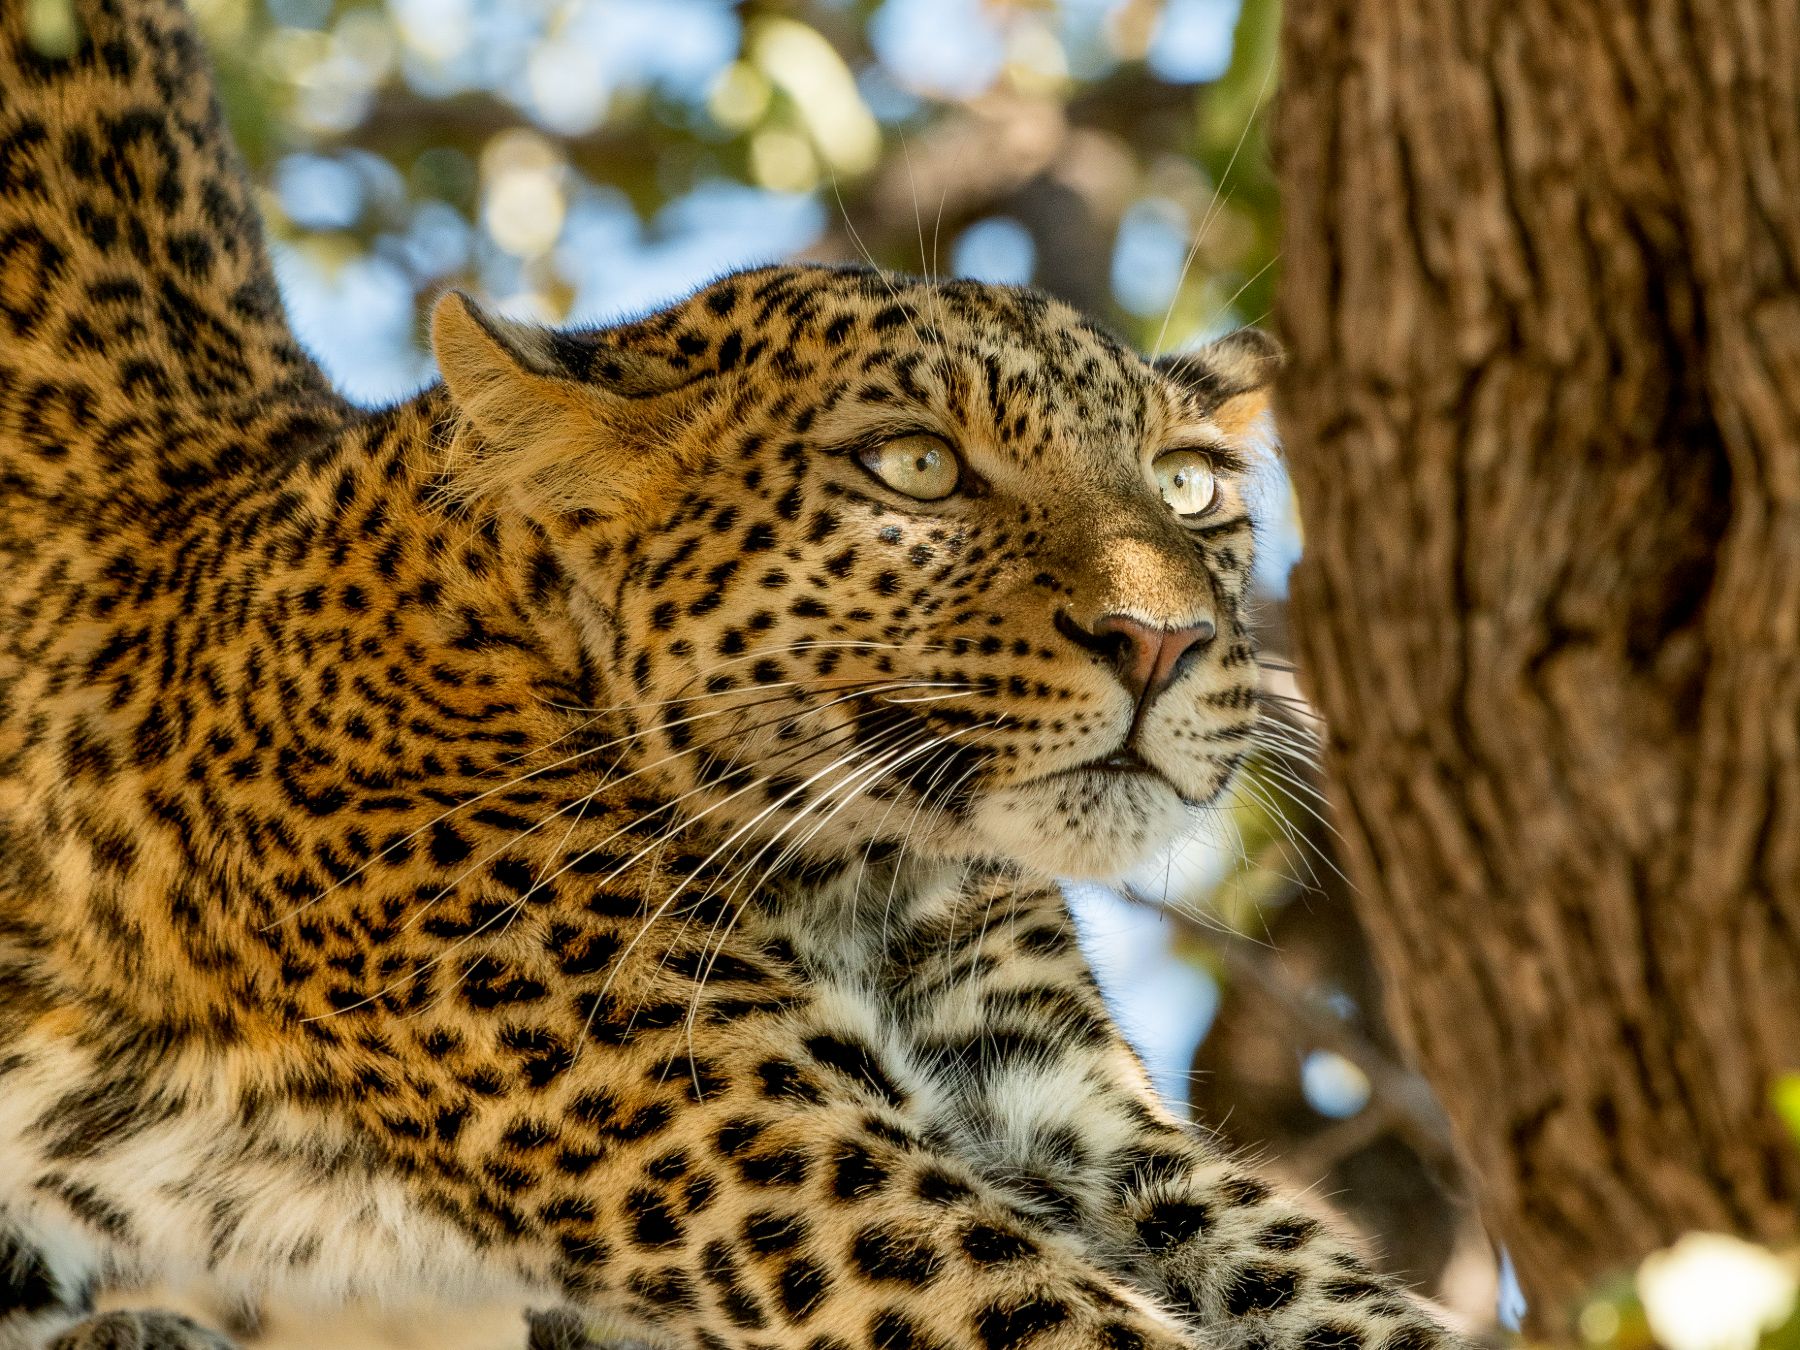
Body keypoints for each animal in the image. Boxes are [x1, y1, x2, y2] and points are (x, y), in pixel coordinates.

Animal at [0, 2, 1475, 1349]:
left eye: (1189, 486)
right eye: (916, 466)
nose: (1161, 641)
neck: (862, 874)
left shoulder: (1063, 1107)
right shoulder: (740, 1124)